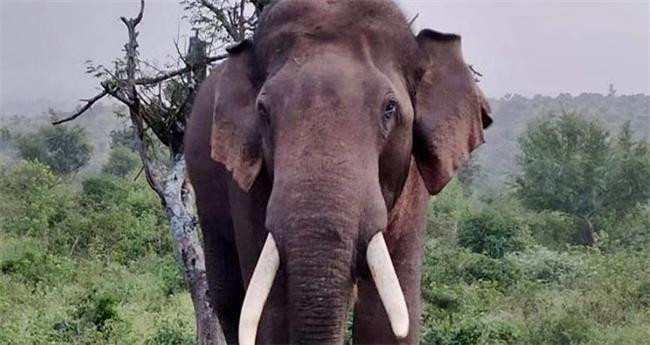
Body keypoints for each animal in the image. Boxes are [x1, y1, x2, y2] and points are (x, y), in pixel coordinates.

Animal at [185, 0, 488, 344]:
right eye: (263, 110)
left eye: (389, 108)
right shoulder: (248, 184)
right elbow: (271, 313)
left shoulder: (412, 185)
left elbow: (387, 317)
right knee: (229, 298)